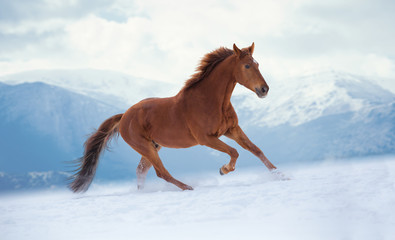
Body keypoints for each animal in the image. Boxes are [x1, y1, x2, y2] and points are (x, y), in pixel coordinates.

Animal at [71, 43, 282, 193]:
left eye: (257, 64)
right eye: (247, 65)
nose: (264, 89)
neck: (211, 100)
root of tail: (124, 116)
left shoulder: (232, 130)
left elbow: (256, 150)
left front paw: (280, 175)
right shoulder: (206, 139)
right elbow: (234, 152)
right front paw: (223, 170)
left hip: (153, 146)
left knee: (142, 170)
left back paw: (143, 192)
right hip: (145, 147)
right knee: (161, 172)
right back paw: (187, 187)